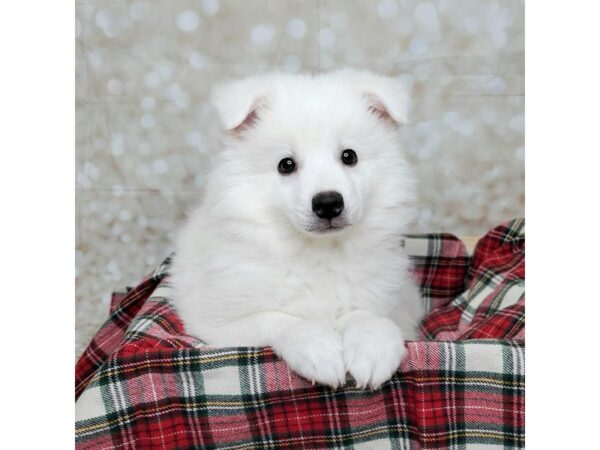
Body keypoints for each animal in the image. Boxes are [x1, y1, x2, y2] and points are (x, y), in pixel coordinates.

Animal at [169, 68, 424, 388]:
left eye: (349, 156)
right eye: (286, 164)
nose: (328, 203)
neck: (319, 253)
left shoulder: (398, 304)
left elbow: (368, 315)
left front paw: (373, 348)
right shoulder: (217, 321)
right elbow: (281, 320)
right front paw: (320, 350)